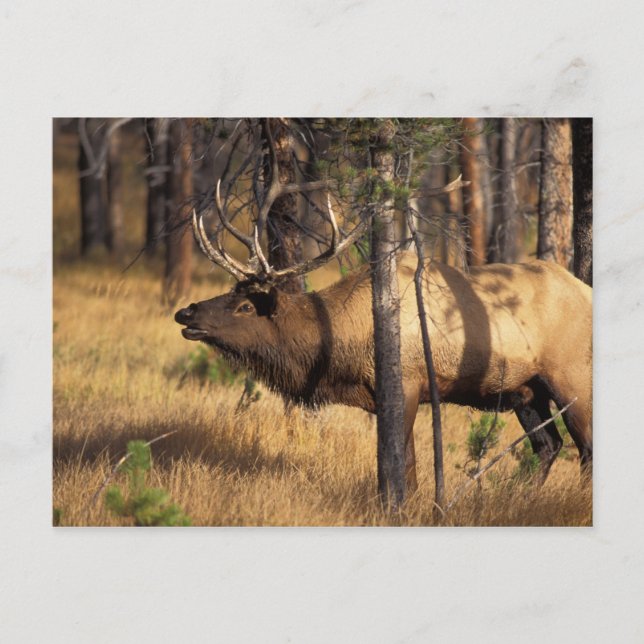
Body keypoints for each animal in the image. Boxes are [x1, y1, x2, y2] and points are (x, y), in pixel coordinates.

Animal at [175, 180, 592, 490]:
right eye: (230, 291)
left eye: (246, 306)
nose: (186, 312)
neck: (339, 350)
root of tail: (586, 292)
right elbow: (398, 463)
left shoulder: (406, 384)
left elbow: (401, 466)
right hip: (526, 390)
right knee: (549, 445)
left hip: (570, 377)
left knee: (585, 447)